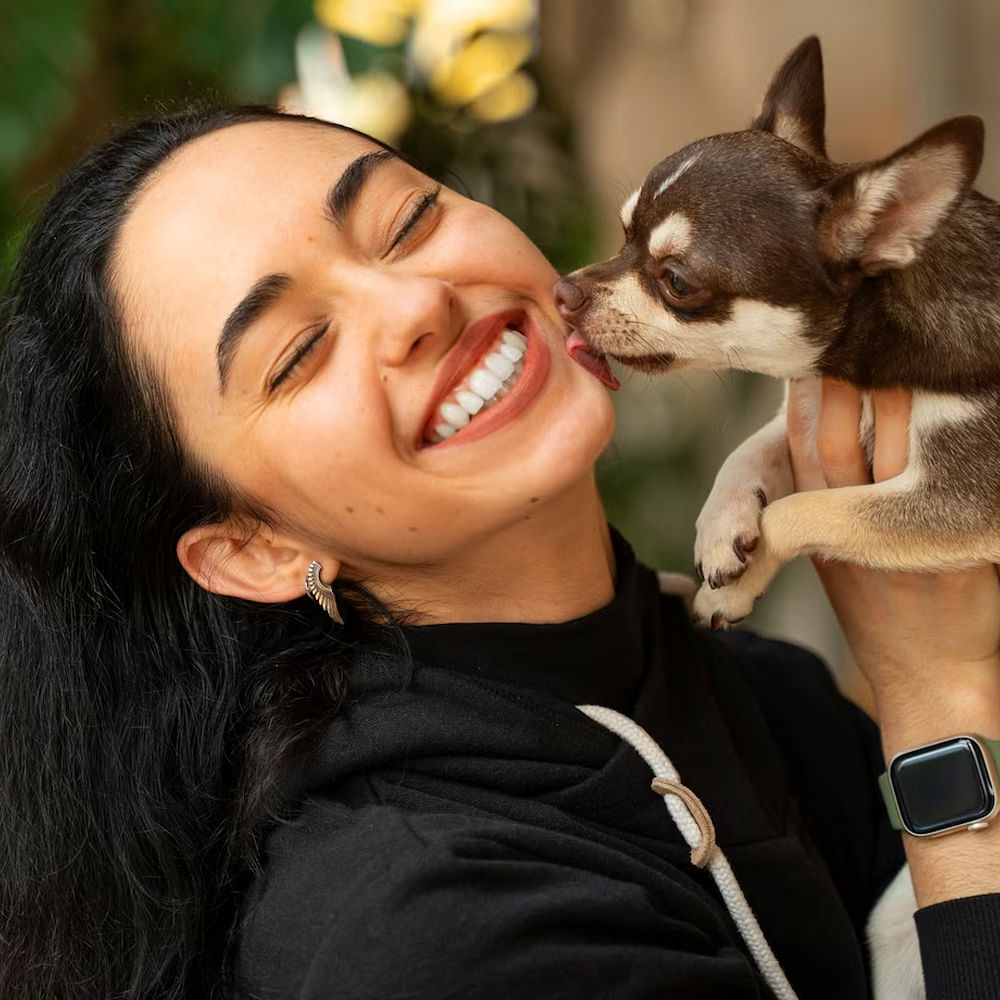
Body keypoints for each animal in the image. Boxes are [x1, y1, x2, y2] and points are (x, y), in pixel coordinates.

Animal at [556, 37, 1000, 624]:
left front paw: (733, 586)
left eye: (677, 281)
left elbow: (804, 509)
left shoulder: (963, 502)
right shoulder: (801, 406)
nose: (562, 291)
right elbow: (749, 448)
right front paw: (720, 524)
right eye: (623, 233)